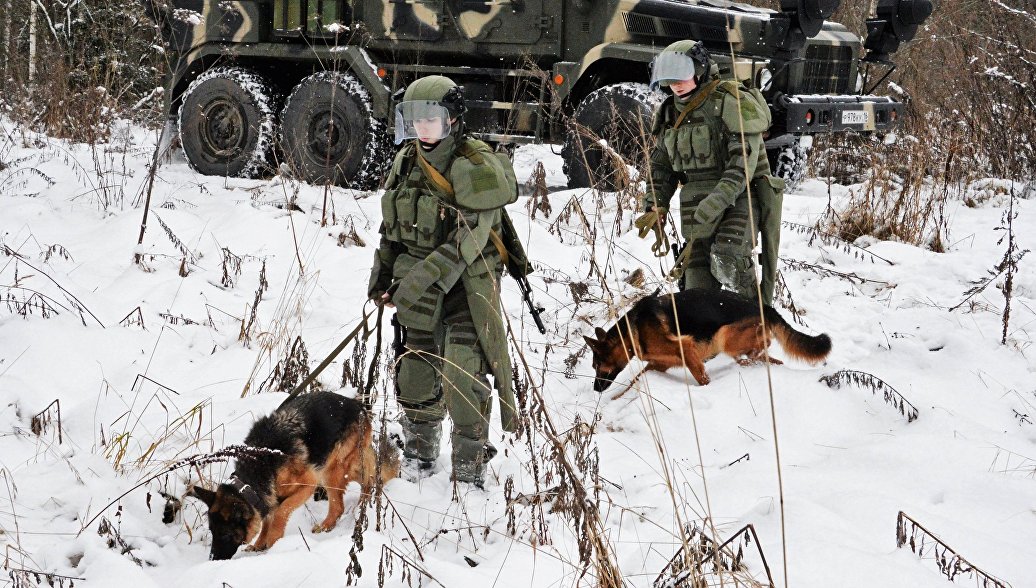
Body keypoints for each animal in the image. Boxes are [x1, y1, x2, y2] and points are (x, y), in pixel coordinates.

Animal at [186, 393, 395, 559]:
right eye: (212, 532)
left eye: (225, 535)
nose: (213, 559)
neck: (259, 467)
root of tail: (358, 405)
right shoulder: (269, 496)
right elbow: (268, 516)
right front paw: (259, 544)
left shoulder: (308, 483)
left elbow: (280, 512)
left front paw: (273, 542)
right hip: (340, 466)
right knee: (370, 479)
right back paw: (365, 503)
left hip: (330, 471)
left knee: (340, 506)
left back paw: (329, 524)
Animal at [584, 287, 832, 393]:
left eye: (597, 365)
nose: (595, 389)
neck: (632, 331)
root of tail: (764, 306)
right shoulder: (659, 364)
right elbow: (636, 379)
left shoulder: (686, 349)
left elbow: (702, 378)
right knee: (769, 356)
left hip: (725, 337)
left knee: (764, 345)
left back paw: (749, 359)